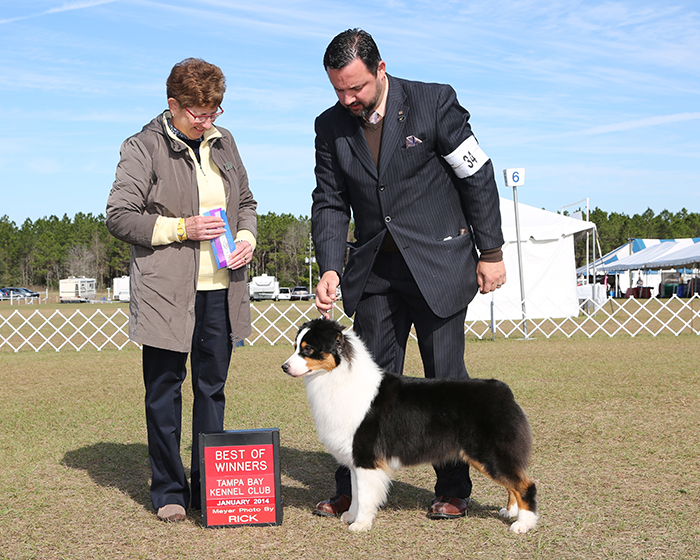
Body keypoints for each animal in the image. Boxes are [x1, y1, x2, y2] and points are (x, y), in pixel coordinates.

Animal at [282, 318, 538, 533]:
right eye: (295, 346)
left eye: (307, 349)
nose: (284, 367)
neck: (338, 376)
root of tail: (503, 390)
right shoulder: (356, 459)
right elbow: (355, 492)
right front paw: (350, 515)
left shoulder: (366, 457)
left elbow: (364, 495)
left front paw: (360, 525)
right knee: (513, 484)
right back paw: (510, 512)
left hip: (490, 454)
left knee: (525, 485)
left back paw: (522, 524)